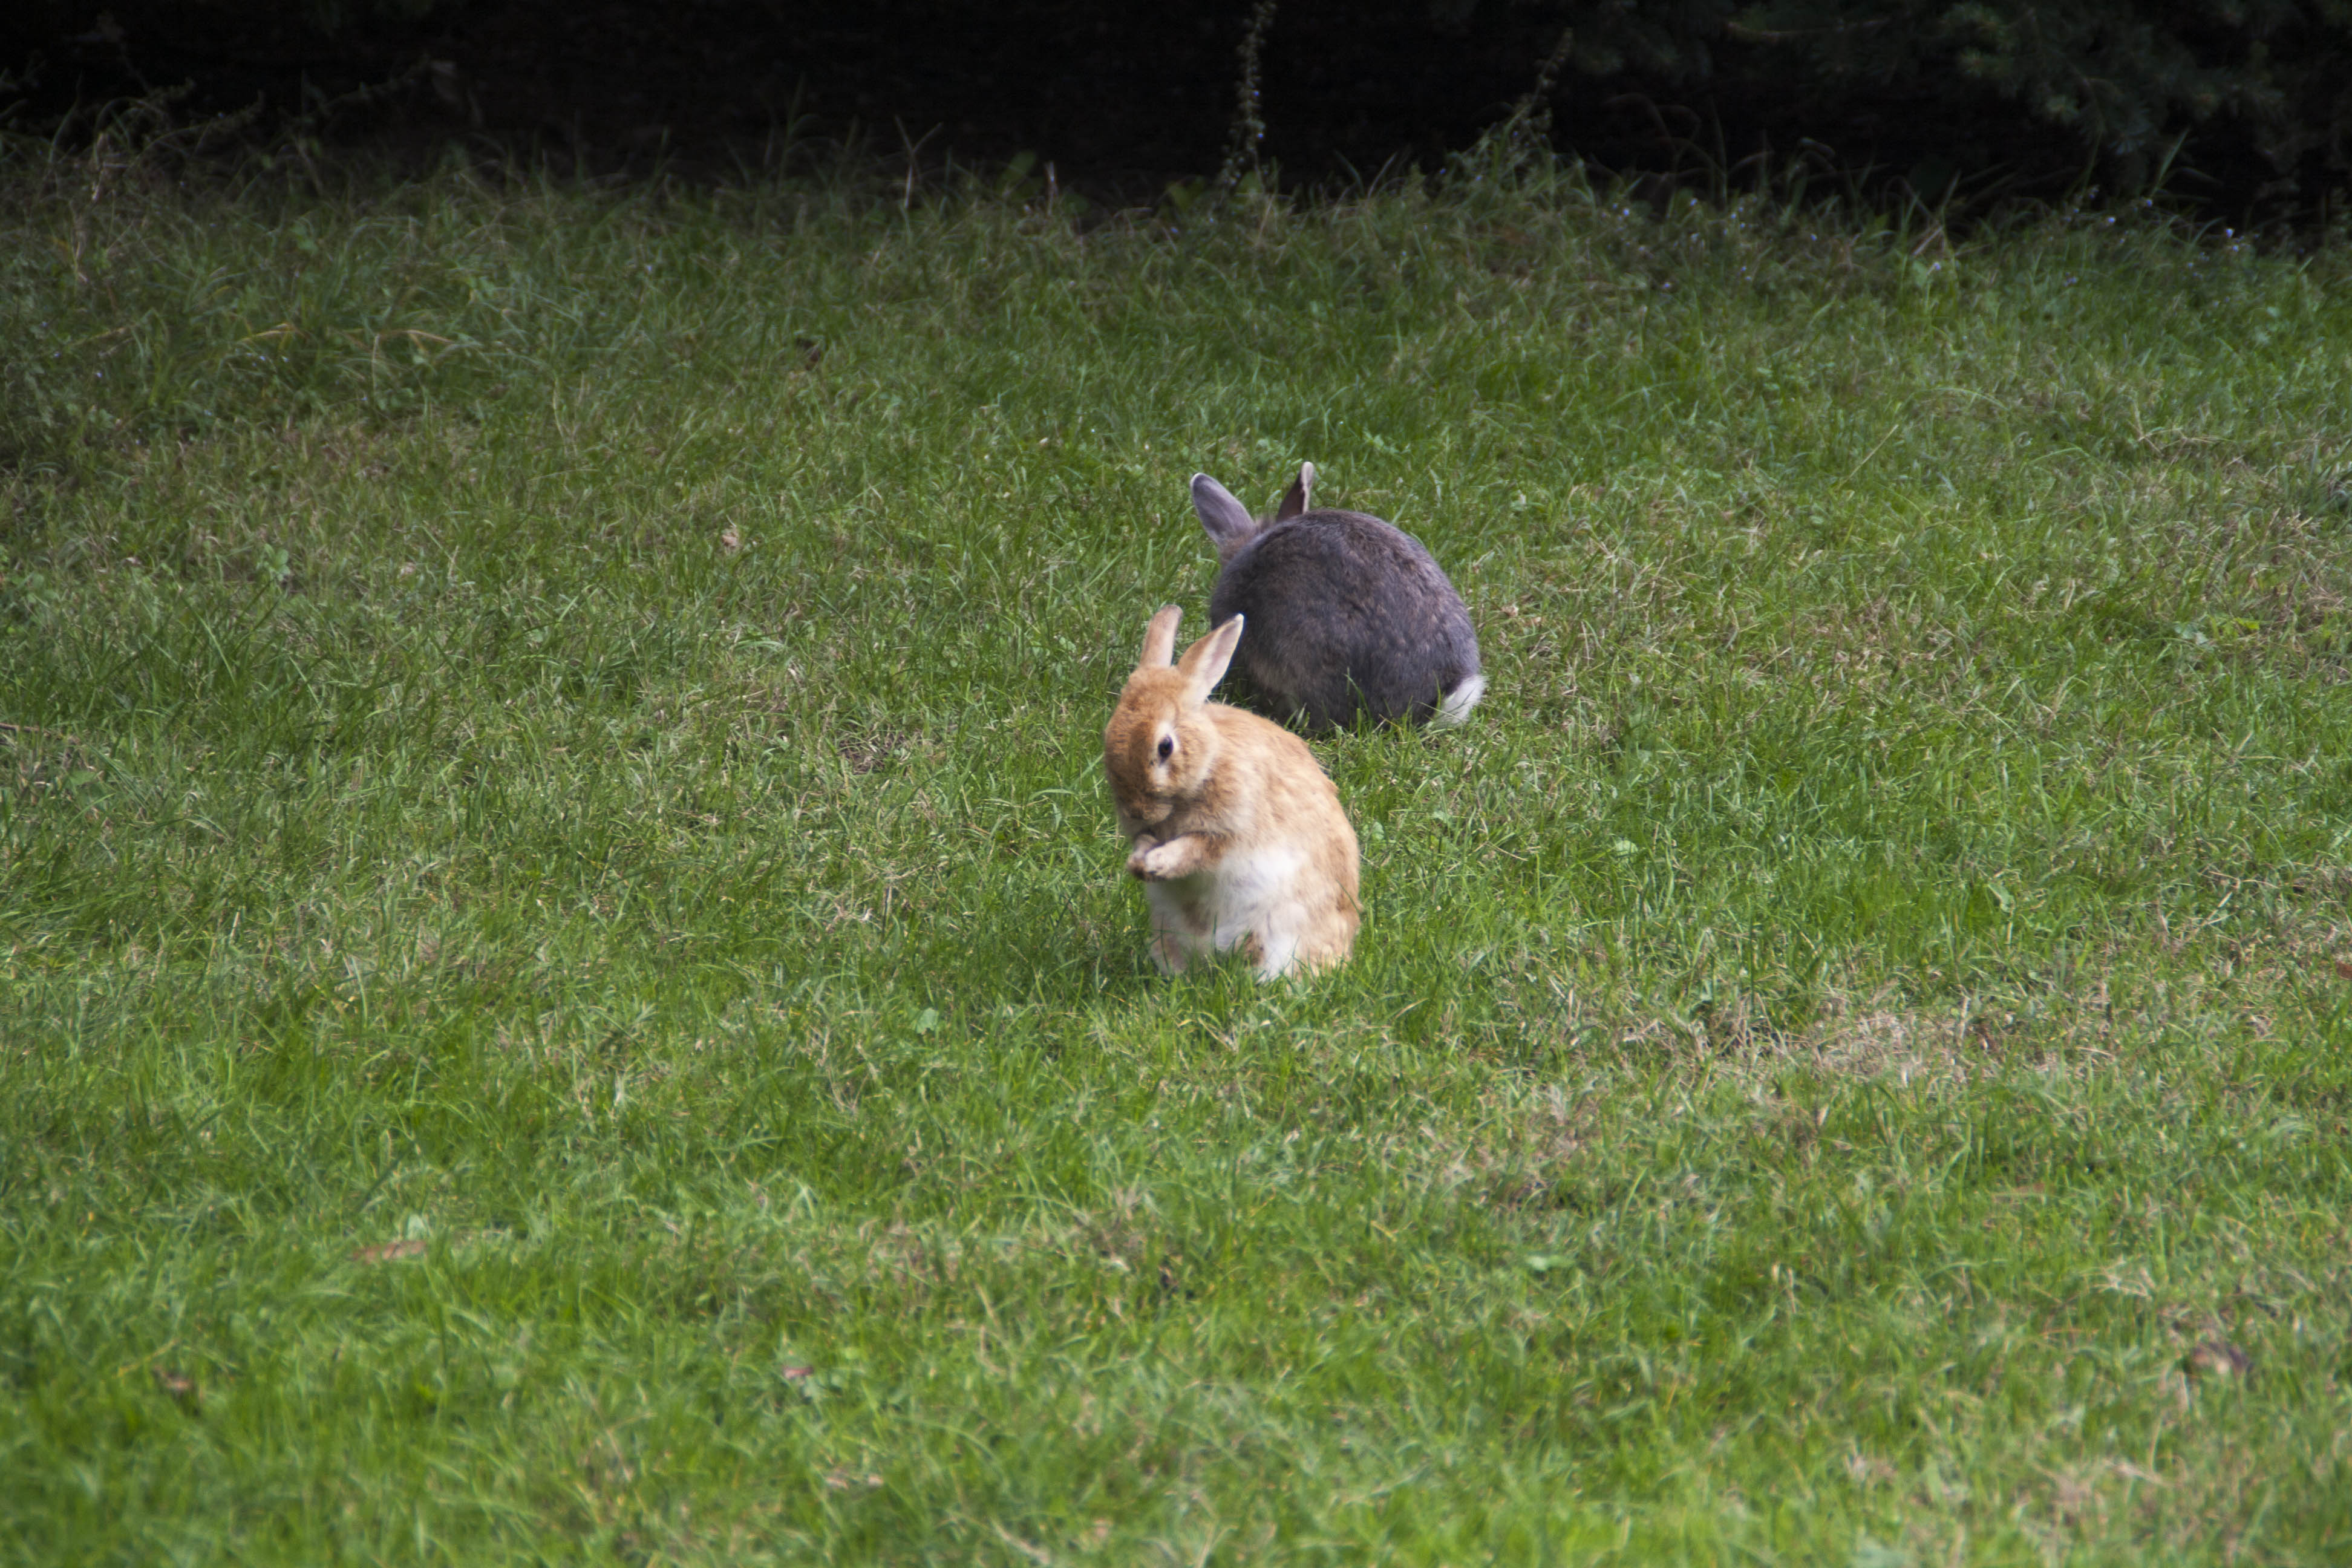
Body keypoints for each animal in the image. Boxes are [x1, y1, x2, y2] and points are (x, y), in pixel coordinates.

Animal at [1100, 606, 1364, 982]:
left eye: (1165, 747)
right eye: (1109, 734)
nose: (1137, 811)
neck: (1206, 764)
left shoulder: (1228, 832)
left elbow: (1196, 850)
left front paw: (1158, 864)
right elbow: (1147, 843)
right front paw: (1139, 863)